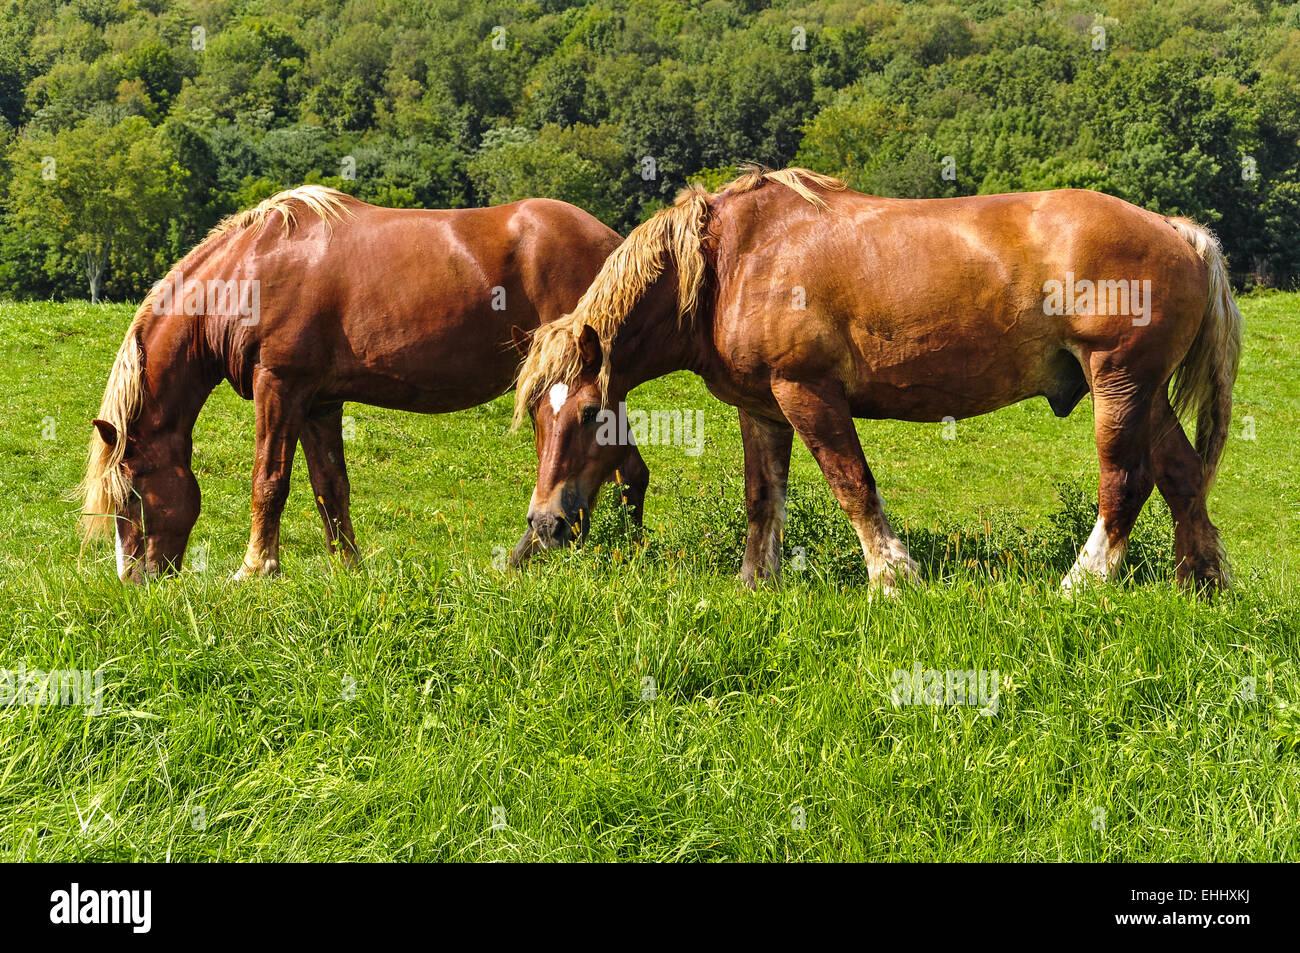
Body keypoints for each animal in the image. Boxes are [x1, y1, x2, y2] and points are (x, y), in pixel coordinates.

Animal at [79, 186, 649, 582]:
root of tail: (614, 243)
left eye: (131, 492)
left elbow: (269, 482)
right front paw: (347, 567)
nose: (134, 580)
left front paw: (256, 568)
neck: (252, 268)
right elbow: (331, 488)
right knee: (627, 472)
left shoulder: (278, 387)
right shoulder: (318, 403)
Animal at [511, 167, 1242, 592]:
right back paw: (1200, 586)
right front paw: (757, 586)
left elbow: (853, 486)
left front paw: (892, 578)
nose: (543, 523)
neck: (735, 259)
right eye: (540, 418)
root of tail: (1181, 232)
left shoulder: (807, 392)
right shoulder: (763, 408)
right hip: (1143, 393)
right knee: (1181, 478)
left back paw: (1083, 584)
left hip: (1119, 382)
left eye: (587, 414)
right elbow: (762, 498)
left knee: (1125, 482)